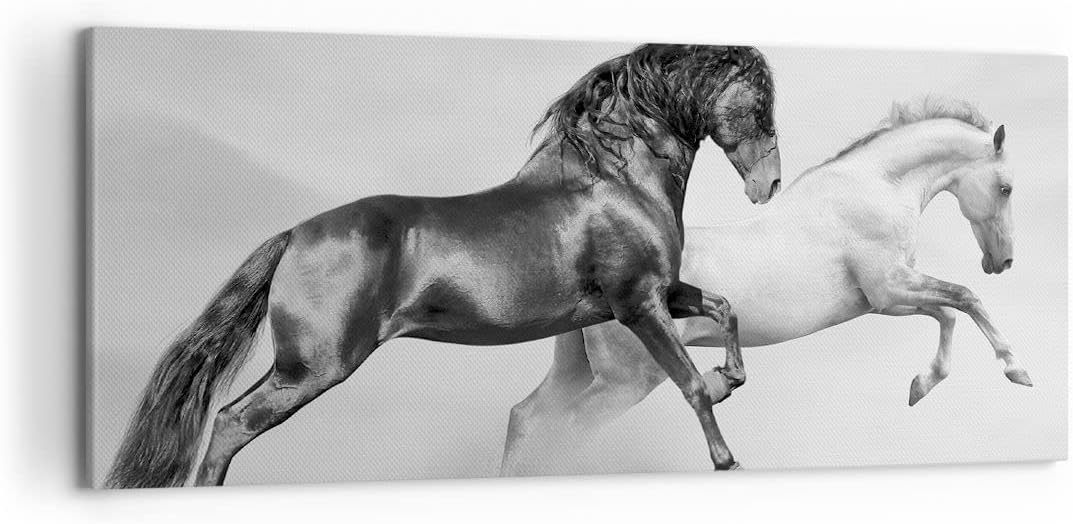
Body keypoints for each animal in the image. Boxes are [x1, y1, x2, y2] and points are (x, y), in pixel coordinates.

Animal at [105, 44, 783, 488]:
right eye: (759, 103)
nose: (769, 185)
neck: (615, 182)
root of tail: (295, 234)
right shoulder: (637, 303)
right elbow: (689, 384)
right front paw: (727, 459)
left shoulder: (661, 293)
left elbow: (725, 308)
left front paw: (730, 377)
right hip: (314, 367)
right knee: (229, 423)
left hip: (299, 367)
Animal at [500, 97, 1031, 475]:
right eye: (1005, 187)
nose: (1002, 261)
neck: (874, 188)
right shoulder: (891, 289)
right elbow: (964, 299)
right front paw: (1017, 371)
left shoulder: (887, 299)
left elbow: (948, 312)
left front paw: (921, 385)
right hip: (625, 382)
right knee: (566, 430)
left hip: (579, 372)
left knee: (527, 418)